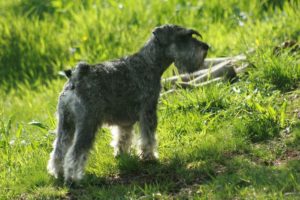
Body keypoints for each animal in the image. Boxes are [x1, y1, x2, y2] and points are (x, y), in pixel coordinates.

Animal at [47, 24, 209, 182]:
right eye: (184, 37)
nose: (206, 47)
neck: (149, 63)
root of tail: (75, 79)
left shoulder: (124, 122)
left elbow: (123, 138)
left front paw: (122, 155)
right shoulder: (148, 111)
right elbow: (148, 138)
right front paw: (149, 157)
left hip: (65, 125)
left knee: (59, 150)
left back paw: (58, 173)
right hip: (87, 124)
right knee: (75, 153)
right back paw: (74, 178)